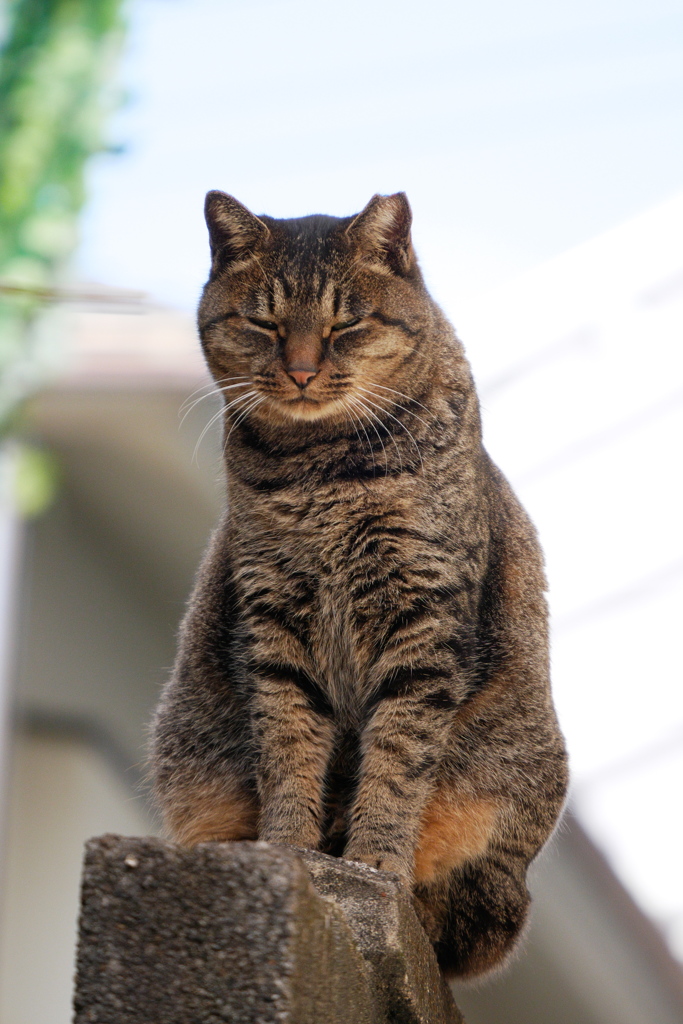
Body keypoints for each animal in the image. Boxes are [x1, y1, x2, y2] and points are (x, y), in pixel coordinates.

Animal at [150, 188, 573, 978]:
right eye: (264, 322)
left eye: (344, 322)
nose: (300, 370)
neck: (322, 471)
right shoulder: (273, 621)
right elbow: (287, 749)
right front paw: (290, 849)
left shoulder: (423, 625)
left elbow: (397, 764)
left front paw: (374, 862)